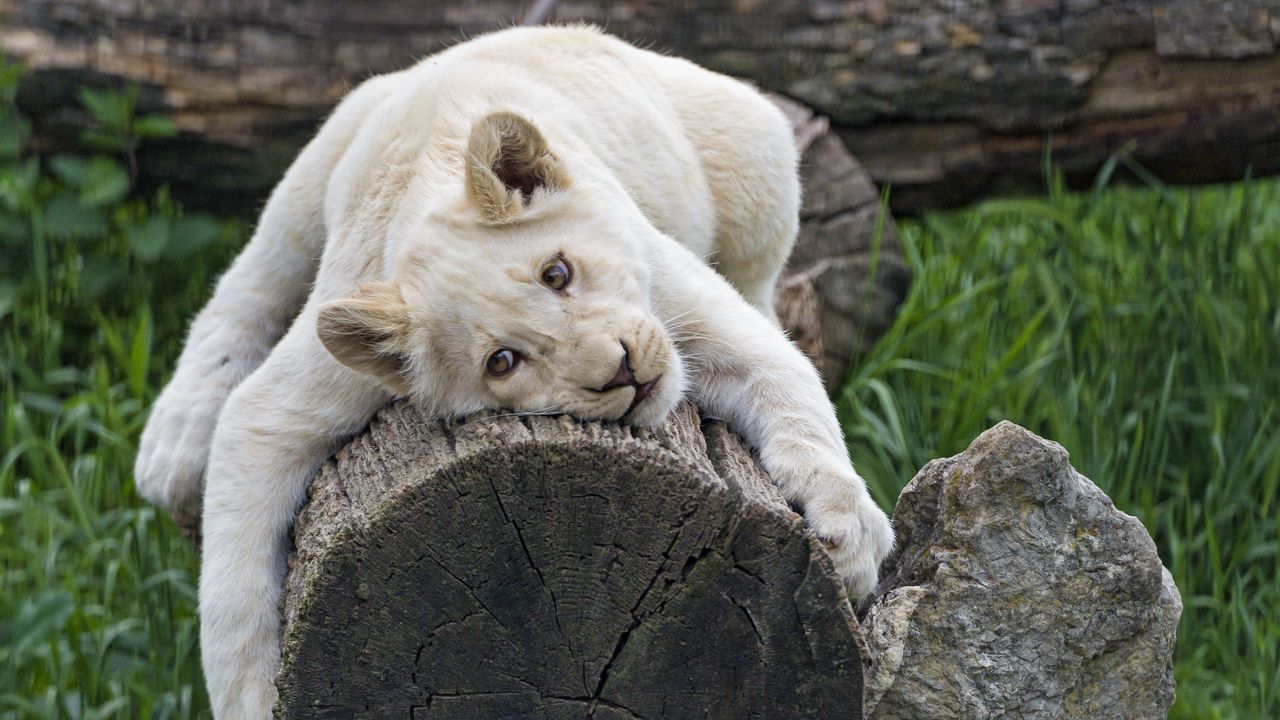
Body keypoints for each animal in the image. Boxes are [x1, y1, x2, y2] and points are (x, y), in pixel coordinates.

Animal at [134, 25, 894, 718]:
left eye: (557, 272)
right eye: (502, 362)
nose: (621, 372)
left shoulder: (684, 302)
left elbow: (789, 384)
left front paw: (851, 539)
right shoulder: (299, 391)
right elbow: (231, 594)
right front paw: (253, 698)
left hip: (753, 147)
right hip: (314, 176)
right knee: (248, 284)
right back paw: (172, 452)